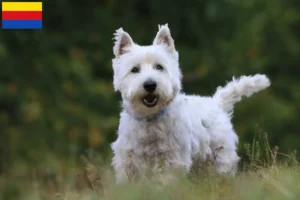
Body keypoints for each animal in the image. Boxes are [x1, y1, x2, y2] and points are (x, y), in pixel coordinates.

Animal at [110, 24, 270, 184]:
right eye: (134, 69)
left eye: (159, 67)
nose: (150, 85)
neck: (150, 119)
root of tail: (216, 102)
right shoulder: (127, 160)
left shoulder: (171, 159)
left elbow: (166, 181)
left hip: (220, 155)